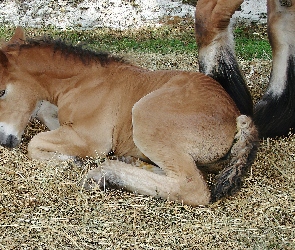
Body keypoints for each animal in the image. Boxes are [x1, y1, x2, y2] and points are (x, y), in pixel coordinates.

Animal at [0, 27, 260, 207]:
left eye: (1, 91)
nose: (4, 140)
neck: (82, 82)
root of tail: (235, 117)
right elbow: (44, 113)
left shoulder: (93, 141)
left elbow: (35, 143)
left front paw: (71, 160)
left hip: (145, 115)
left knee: (191, 186)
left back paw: (105, 174)